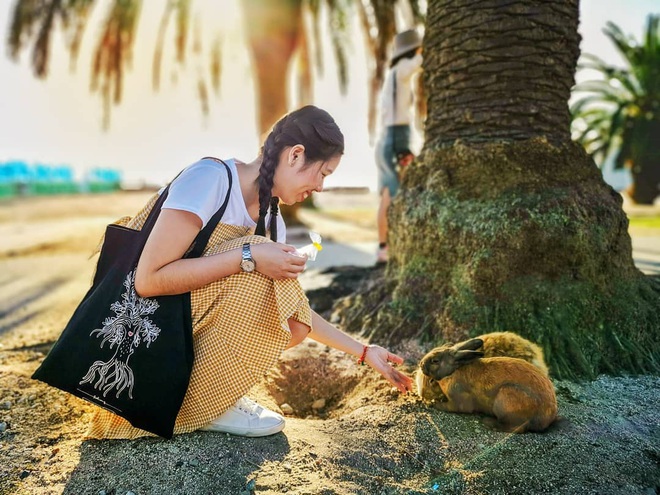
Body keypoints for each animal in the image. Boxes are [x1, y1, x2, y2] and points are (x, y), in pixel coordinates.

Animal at [418, 340, 556, 434]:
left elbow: (453, 407)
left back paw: (488, 422)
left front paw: (434, 404)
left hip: (507, 397)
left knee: (516, 428)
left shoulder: (458, 399)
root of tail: (548, 417)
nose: (421, 364)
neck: (454, 370)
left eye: (435, 361)